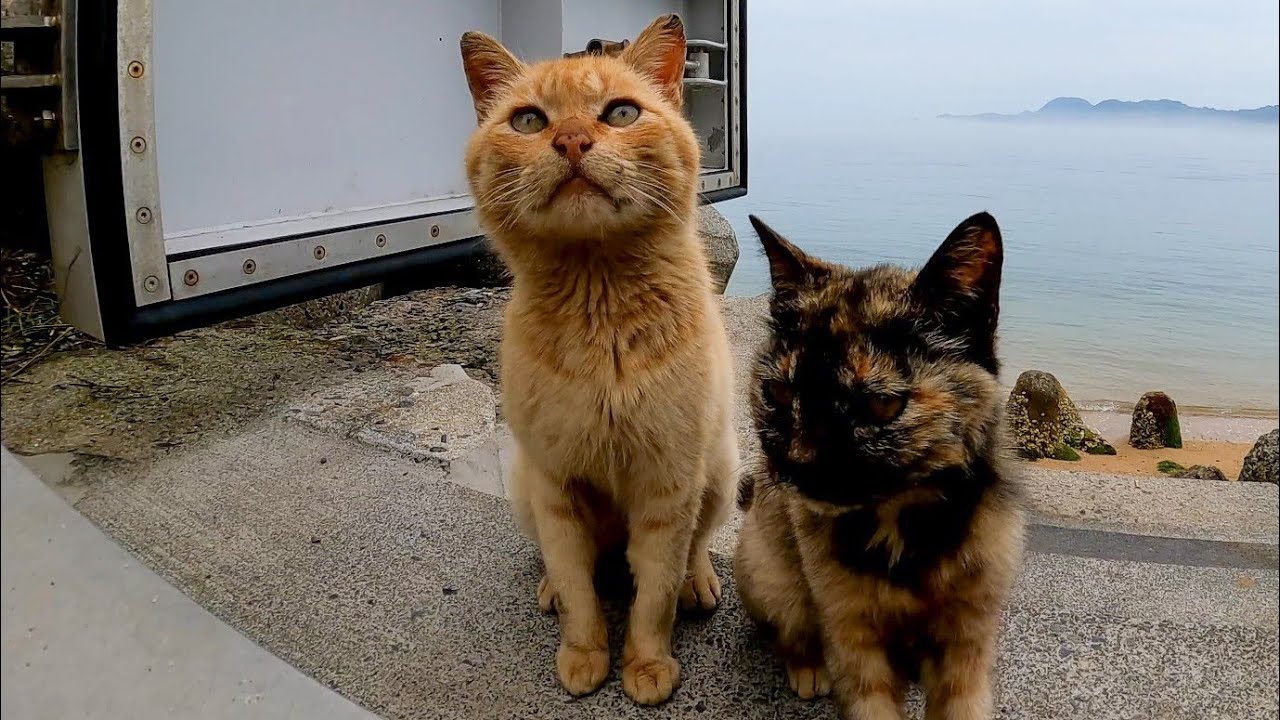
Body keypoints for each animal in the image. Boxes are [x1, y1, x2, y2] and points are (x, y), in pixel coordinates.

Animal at [463, 14, 742, 702]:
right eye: (529, 121)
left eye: (620, 113)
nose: (570, 140)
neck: (601, 311)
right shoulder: (556, 485)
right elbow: (578, 584)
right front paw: (584, 653)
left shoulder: (669, 484)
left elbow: (656, 593)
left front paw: (646, 665)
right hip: (524, 488)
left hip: (721, 469)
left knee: (696, 547)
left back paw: (700, 582)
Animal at [737, 212, 1024, 717]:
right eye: (779, 393)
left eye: (879, 405)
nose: (799, 464)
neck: (904, 534)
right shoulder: (852, 637)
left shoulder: (968, 641)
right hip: (771, 574)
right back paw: (808, 669)